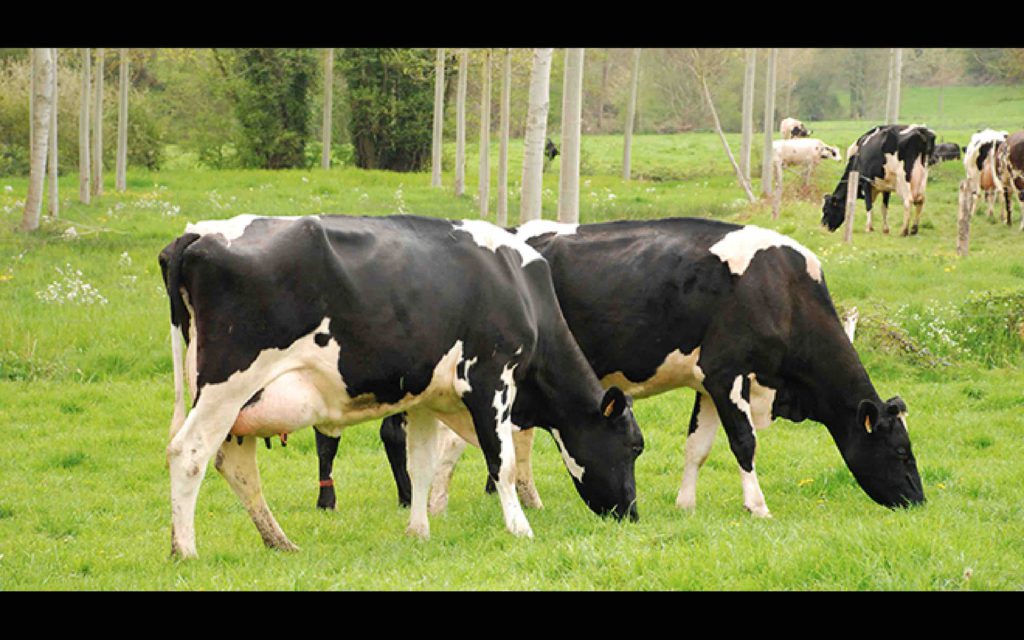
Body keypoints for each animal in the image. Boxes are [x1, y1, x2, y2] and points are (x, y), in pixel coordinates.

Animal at [158, 214, 644, 559]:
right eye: (634, 447)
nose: (632, 514)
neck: (522, 291)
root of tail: (199, 234)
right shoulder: (491, 378)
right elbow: (501, 462)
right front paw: (521, 529)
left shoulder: (428, 398)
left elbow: (421, 465)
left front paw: (419, 531)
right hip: (227, 385)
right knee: (189, 453)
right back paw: (186, 551)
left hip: (238, 403)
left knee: (236, 465)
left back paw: (278, 541)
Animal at [316, 218, 926, 519]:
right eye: (901, 452)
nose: (918, 502)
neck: (781, 288)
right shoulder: (728, 372)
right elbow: (744, 444)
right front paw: (758, 507)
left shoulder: (708, 381)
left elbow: (698, 446)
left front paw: (684, 505)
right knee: (454, 440)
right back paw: (440, 503)